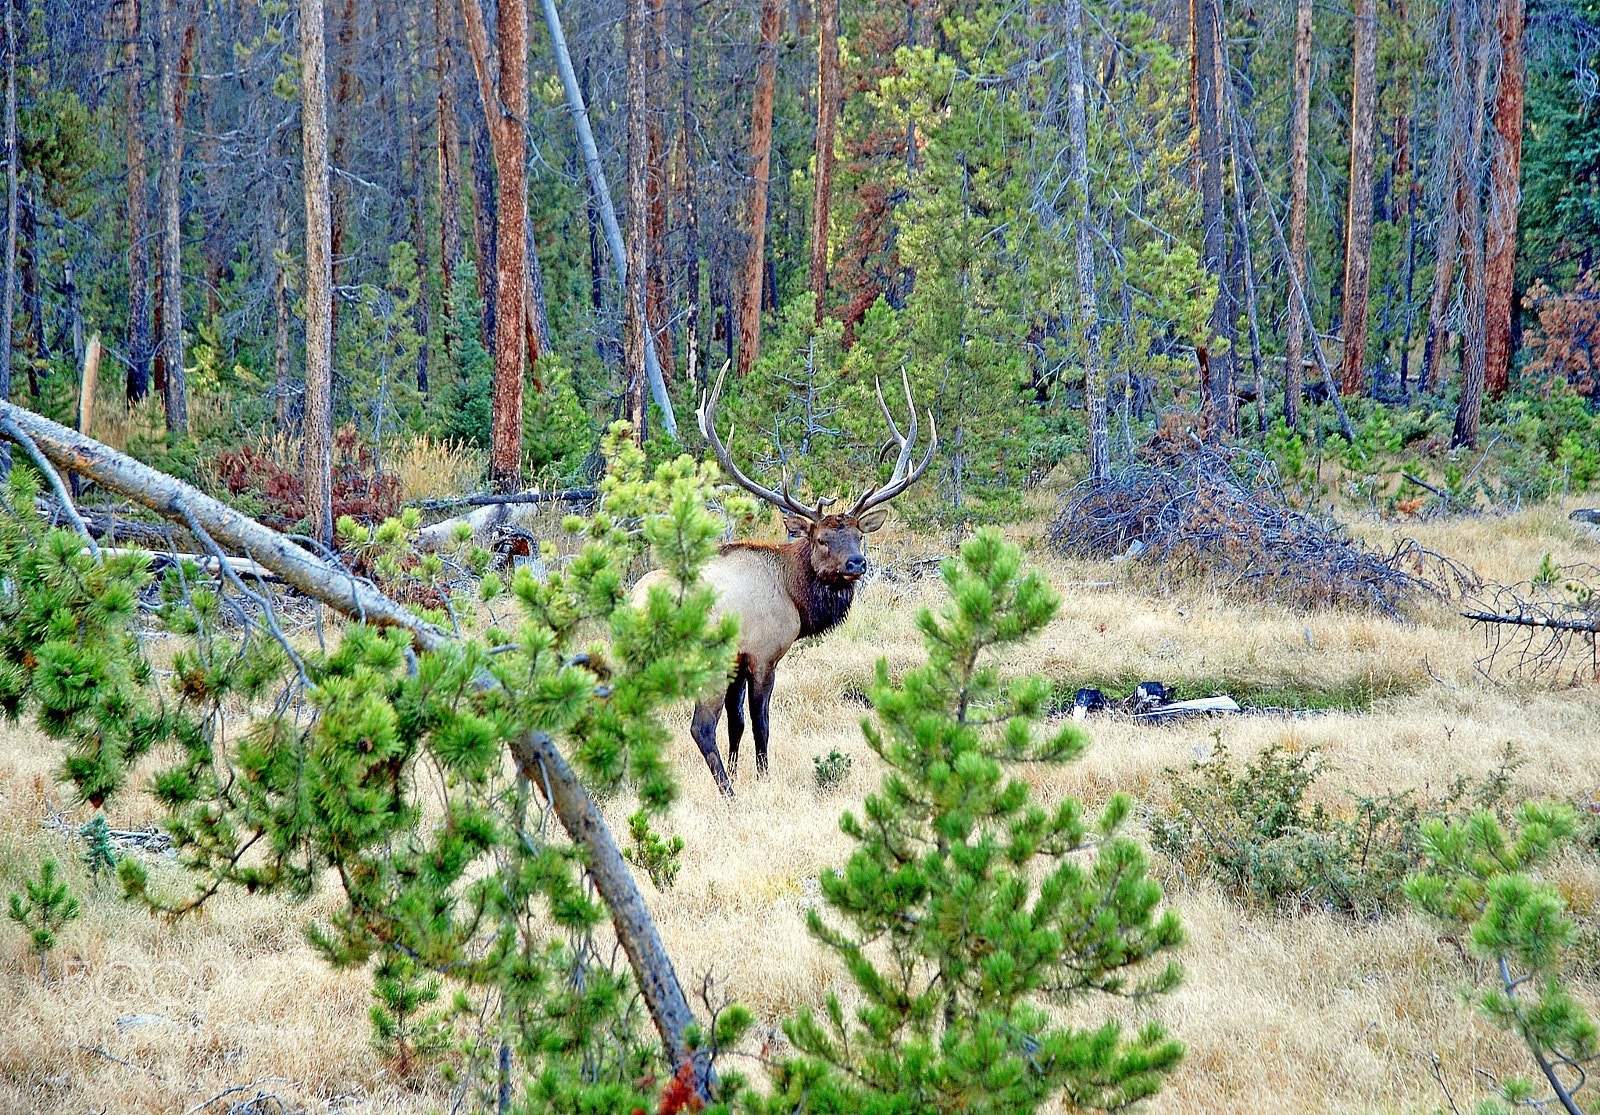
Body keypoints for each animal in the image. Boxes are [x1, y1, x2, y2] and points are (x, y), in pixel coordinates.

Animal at [636, 365, 936, 796]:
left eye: (858, 535)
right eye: (822, 538)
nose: (858, 563)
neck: (794, 595)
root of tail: (639, 602)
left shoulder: (737, 662)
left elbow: (737, 725)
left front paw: (742, 769)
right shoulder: (763, 654)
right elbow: (760, 723)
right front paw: (762, 777)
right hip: (704, 659)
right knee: (700, 727)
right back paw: (728, 794)